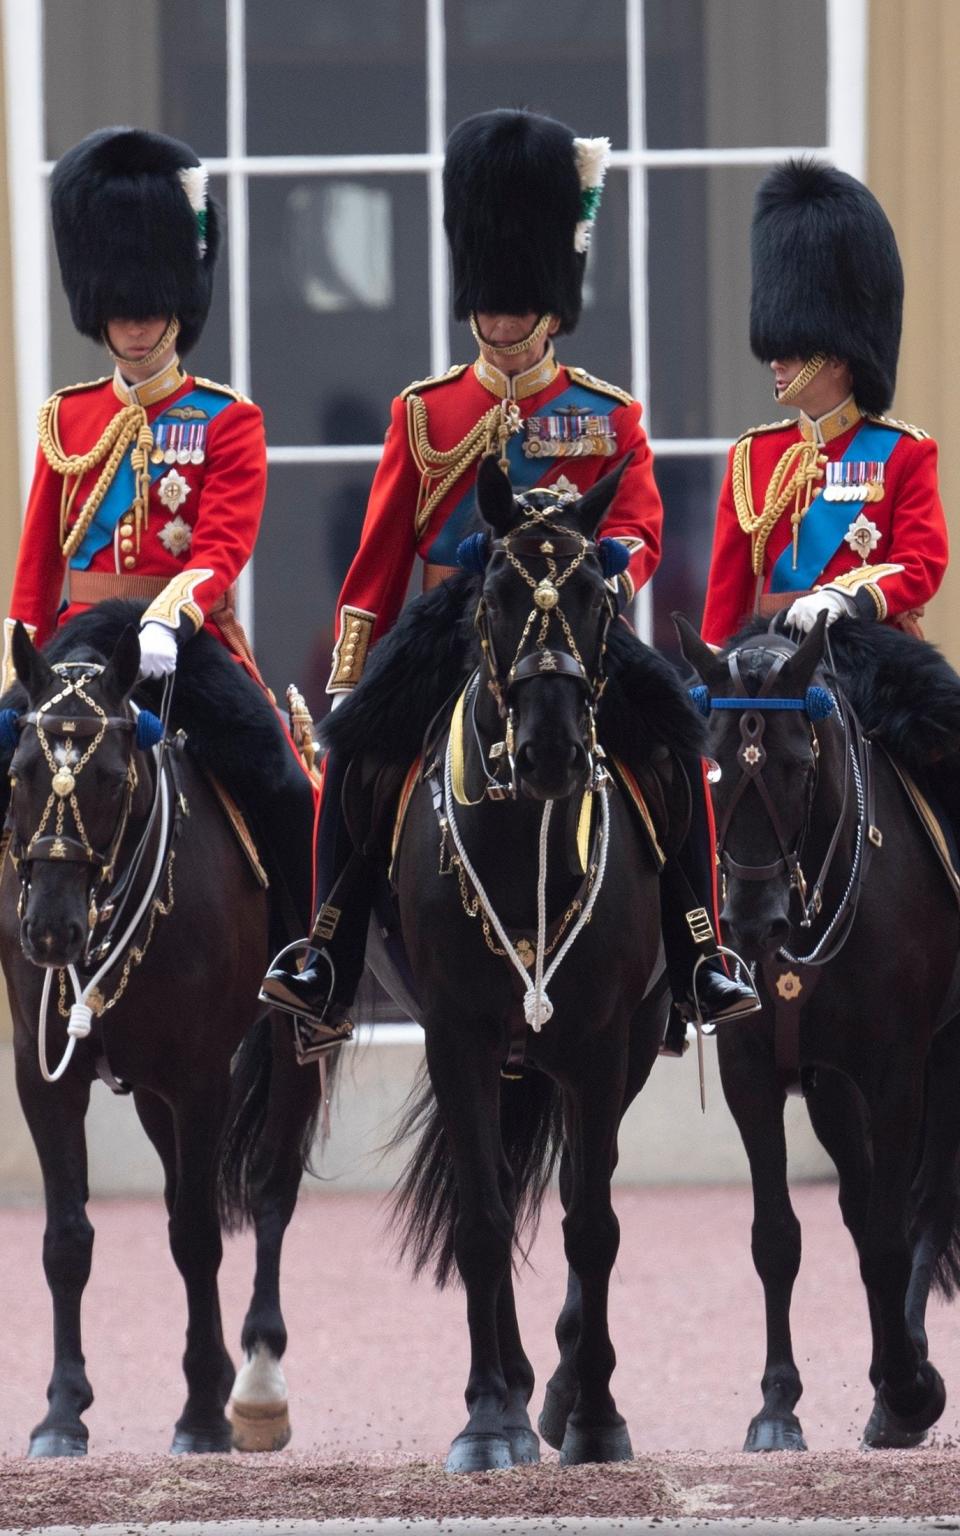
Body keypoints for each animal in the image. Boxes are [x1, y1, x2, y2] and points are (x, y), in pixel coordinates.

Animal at [0, 617, 322, 1456]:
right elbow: (67, 1239)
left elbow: (199, 1233)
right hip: (149, 1095)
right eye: (18, 771)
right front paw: (62, 1412)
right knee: (185, 1191)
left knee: (269, 1190)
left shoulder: (201, 1076)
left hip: (295, 1046)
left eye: (112, 778)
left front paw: (203, 1414)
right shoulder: (45, 1077)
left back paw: (257, 1378)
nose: (50, 931)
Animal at [678, 608, 958, 1449]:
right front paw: (777, 1405)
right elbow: (779, 1238)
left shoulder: (895, 1073)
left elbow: (894, 1235)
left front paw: (907, 1386)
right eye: (709, 771)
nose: (750, 923)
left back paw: (905, 1378)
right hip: (833, 1087)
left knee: (928, 1202)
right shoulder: (754, 1071)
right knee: (866, 1208)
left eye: (798, 767)